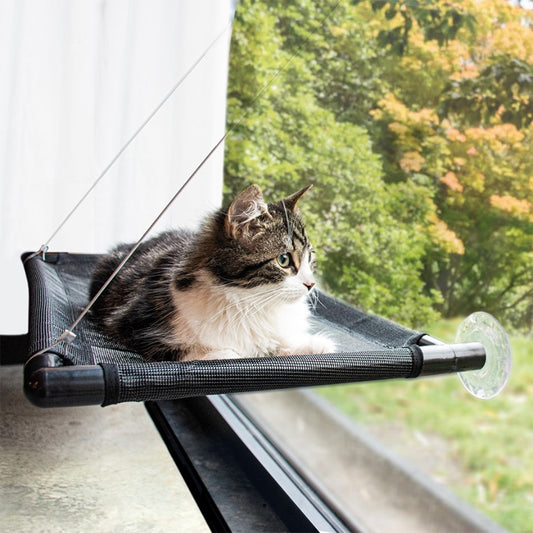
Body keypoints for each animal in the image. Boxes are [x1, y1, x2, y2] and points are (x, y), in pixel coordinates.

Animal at [89, 184, 334, 362]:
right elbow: (213, 353)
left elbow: (278, 345)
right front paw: (228, 353)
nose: (311, 284)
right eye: (284, 260)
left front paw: (315, 344)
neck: (252, 304)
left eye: (309, 258)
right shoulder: (137, 328)